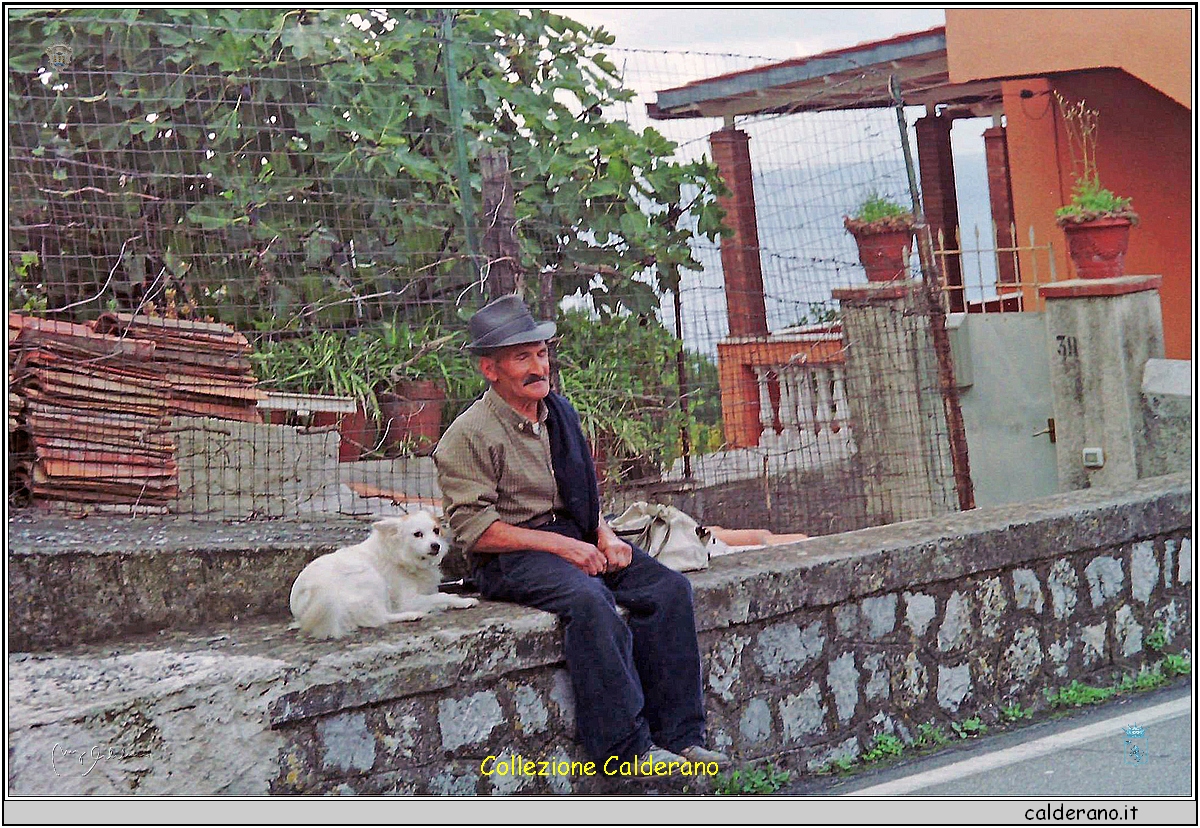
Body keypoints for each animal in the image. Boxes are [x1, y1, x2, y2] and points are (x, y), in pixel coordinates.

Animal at [290, 508, 477, 638]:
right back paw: (412, 615)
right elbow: (442, 595)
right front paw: (460, 600)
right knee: (381, 617)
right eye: (417, 534)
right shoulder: (407, 600)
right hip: (371, 578)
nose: (435, 546)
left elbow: (437, 596)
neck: (401, 556)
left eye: (436, 531)